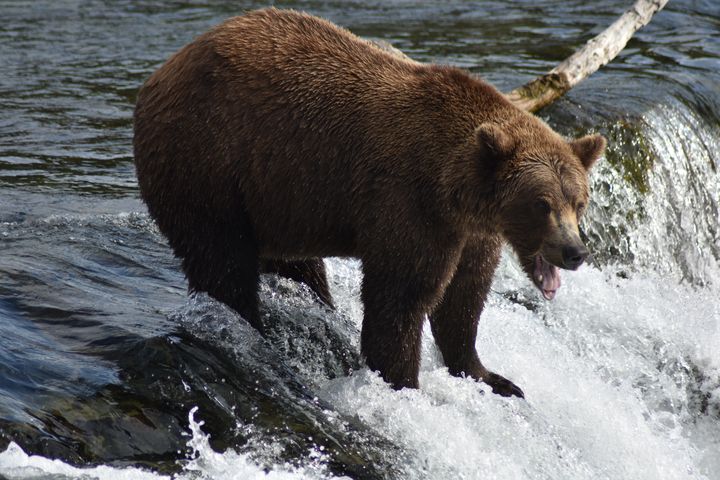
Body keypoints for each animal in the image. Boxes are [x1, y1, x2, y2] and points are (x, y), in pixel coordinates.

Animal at [133, 8, 605, 398]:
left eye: (579, 202)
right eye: (542, 203)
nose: (575, 251)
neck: (456, 188)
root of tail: (164, 70)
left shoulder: (471, 232)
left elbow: (464, 297)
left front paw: (492, 377)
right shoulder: (410, 202)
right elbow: (400, 296)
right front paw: (402, 384)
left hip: (276, 201)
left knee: (297, 267)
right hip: (206, 161)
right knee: (221, 261)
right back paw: (251, 330)